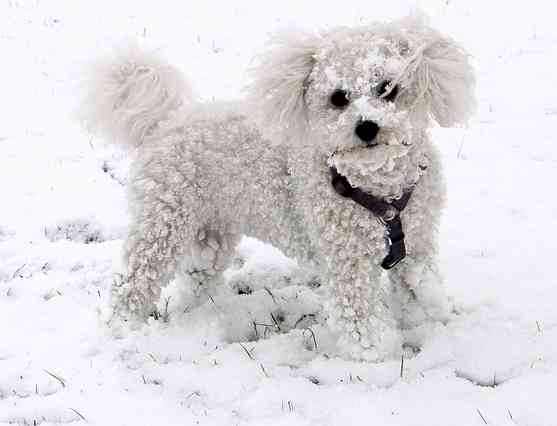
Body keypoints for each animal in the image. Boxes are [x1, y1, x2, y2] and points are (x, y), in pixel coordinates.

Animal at [81, 18, 474, 362]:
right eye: (338, 97)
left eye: (388, 89)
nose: (366, 127)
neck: (379, 190)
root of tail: (165, 122)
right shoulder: (347, 263)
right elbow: (360, 317)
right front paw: (376, 357)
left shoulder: (417, 243)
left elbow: (417, 287)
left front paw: (425, 318)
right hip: (162, 225)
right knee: (131, 282)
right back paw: (121, 327)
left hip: (211, 230)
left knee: (197, 277)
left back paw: (203, 315)